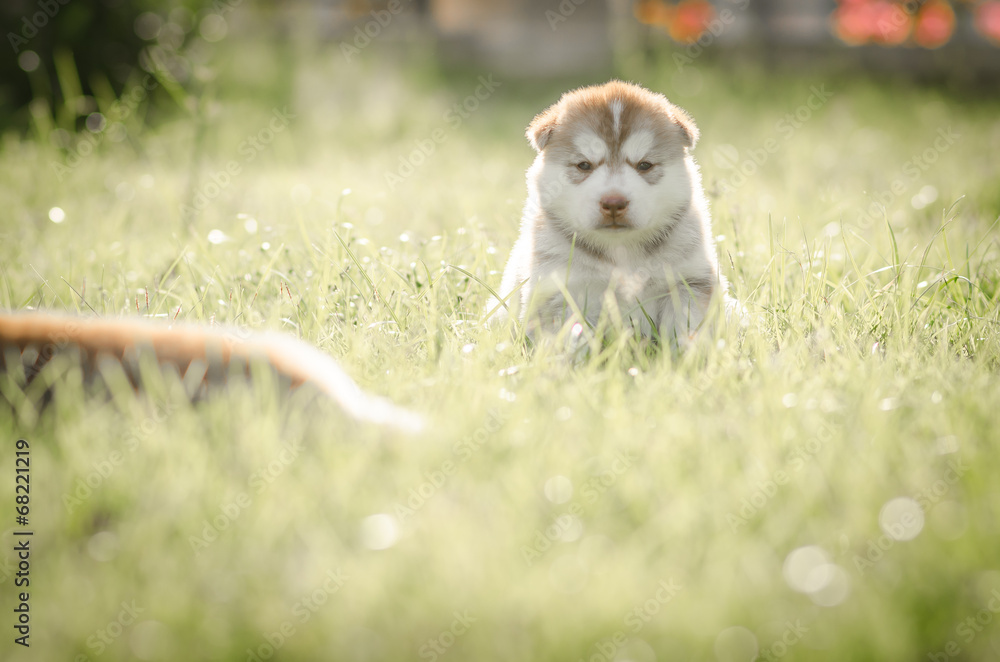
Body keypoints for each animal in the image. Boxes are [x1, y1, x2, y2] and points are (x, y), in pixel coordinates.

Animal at [488, 80, 732, 344]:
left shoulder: (689, 282)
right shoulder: (560, 290)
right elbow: (569, 339)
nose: (614, 202)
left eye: (644, 165)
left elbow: (687, 329)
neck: (621, 250)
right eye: (584, 165)